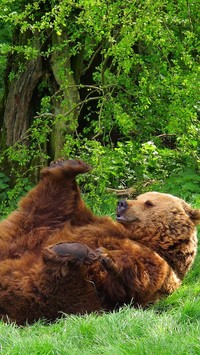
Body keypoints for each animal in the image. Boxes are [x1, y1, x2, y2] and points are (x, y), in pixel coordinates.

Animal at [0, 161, 198, 326]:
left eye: (148, 203)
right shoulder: (89, 222)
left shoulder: (157, 265)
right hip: (27, 233)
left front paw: (107, 255)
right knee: (45, 206)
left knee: (51, 282)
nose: (122, 203)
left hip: (61, 294)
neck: (145, 238)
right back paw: (65, 167)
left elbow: (135, 281)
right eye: (139, 197)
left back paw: (70, 250)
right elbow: (77, 212)